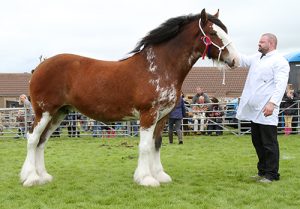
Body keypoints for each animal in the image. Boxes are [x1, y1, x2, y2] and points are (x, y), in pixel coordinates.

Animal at [19, 9, 239, 187]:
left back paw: (43, 176)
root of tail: (39, 67)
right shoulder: (148, 114)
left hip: (59, 113)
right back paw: (31, 178)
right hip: (44, 112)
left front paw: (160, 175)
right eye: (213, 33)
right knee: (32, 139)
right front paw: (146, 178)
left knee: (42, 141)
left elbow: (156, 144)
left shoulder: (163, 117)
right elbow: (145, 146)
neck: (160, 66)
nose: (235, 60)